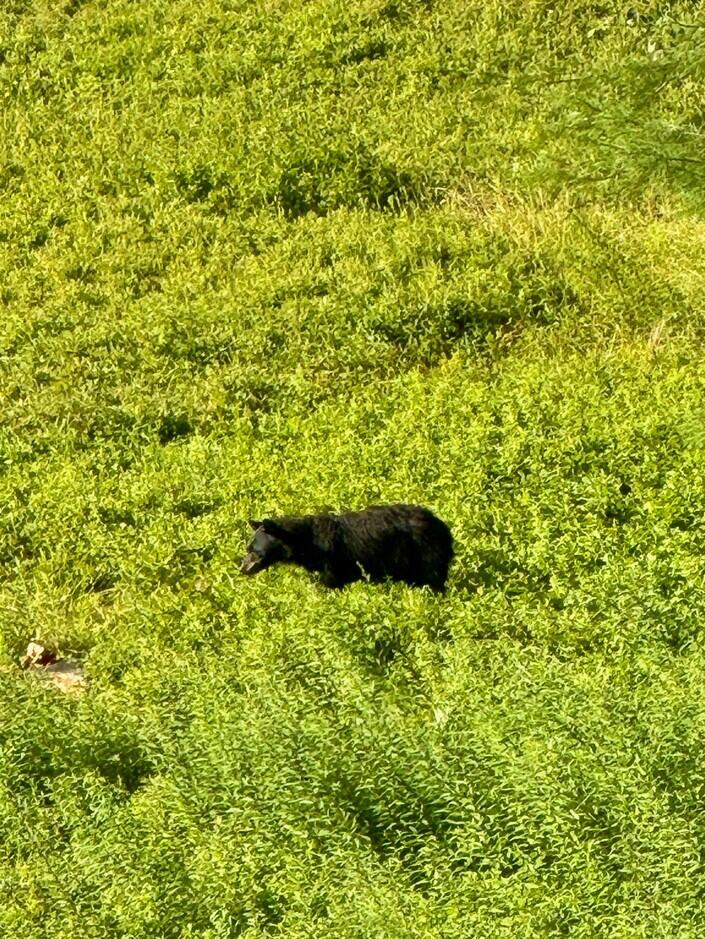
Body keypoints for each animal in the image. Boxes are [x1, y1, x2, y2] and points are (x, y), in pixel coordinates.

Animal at [239, 504, 454, 592]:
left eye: (253, 551)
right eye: (248, 548)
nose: (241, 568)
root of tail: (443, 527)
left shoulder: (334, 562)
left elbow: (330, 584)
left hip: (424, 553)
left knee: (432, 580)